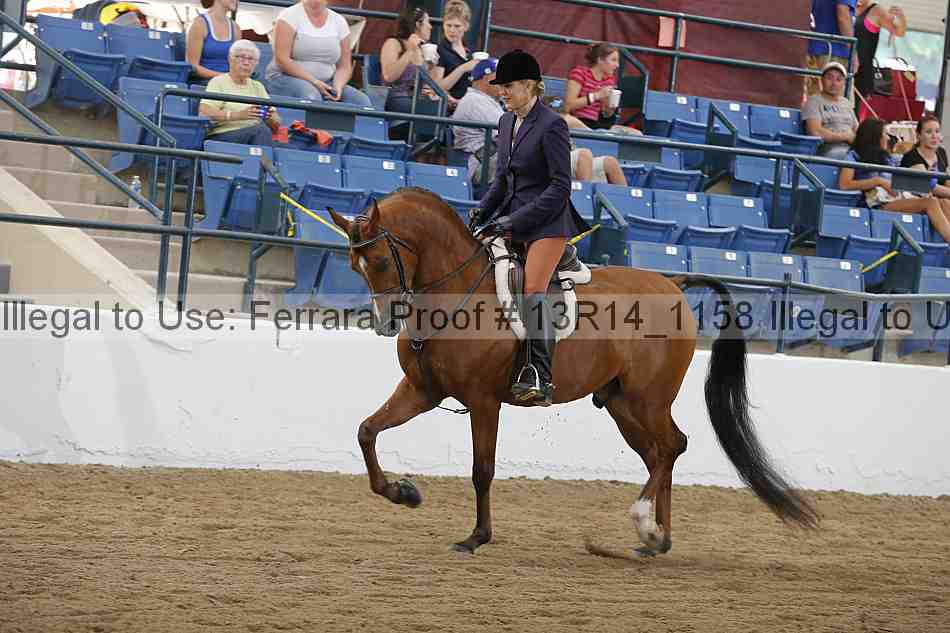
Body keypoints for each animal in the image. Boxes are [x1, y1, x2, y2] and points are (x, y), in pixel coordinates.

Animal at [326, 188, 818, 556]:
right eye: (354, 265)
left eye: (382, 261)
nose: (387, 322)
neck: (455, 294)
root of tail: (673, 283)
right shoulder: (421, 390)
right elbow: (367, 431)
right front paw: (403, 493)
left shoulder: (484, 402)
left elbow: (481, 470)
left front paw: (476, 538)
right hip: (622, 404)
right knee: (658, 454)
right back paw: (656, 540)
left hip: (648, 398)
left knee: (672, 446)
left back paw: (645, 524)